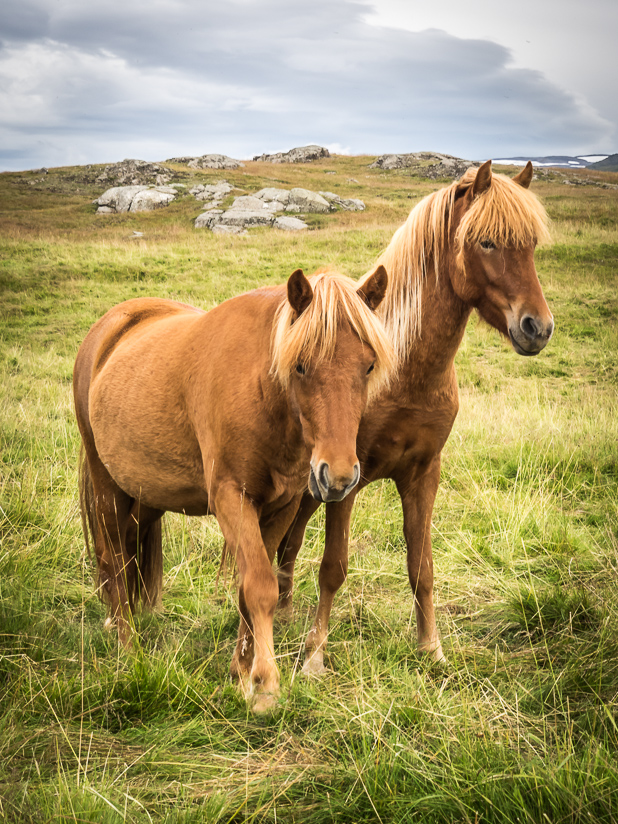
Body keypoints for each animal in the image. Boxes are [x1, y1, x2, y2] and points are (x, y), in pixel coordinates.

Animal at [73, 266, 394, 711]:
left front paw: (241, 672)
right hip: (107, 484)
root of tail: (107, 328)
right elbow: (259, 586)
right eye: (300, 366)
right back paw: (127, 645)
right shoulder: (230, 498)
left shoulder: (282, 507)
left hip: (148, 493)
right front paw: (265, 684)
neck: (264, 396)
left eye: (368, 366)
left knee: (129, 545)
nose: (339, 477)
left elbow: (251, 588)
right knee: (114, 557)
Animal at [275, 160, 554, 674]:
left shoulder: (423, 474)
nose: (537, 328)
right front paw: (315, 654)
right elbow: (333, 568)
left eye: (530, 244)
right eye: (486, 242)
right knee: (287, 542)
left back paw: (282, 612)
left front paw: (431, 648)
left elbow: (421, 567)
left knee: (290, 541)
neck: (405, 372)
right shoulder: (345, 482)